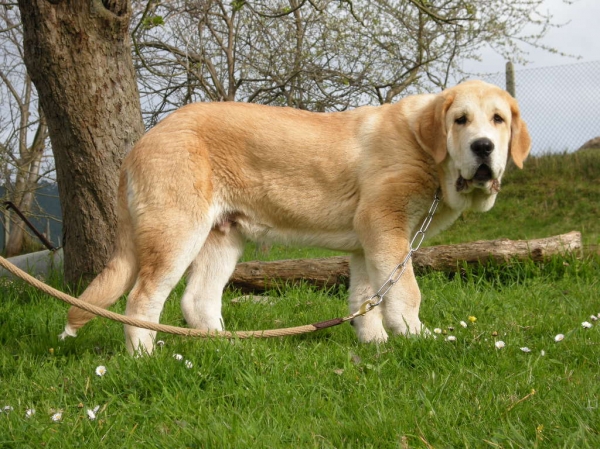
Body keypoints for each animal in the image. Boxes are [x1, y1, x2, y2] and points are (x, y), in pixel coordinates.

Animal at [59, 79, 528, 354]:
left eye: (498, 120)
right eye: (460, 120)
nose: (483, 147)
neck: (425, 149)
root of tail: (141, 143)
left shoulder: (367, 243)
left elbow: (365, 298)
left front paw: (374, 346)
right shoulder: (385, 225)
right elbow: (406, 292)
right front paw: (415, 336)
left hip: (222, 238)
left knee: (198, 301)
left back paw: (226, 349)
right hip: (176, 232)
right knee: (142, 300)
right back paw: (145, 357)